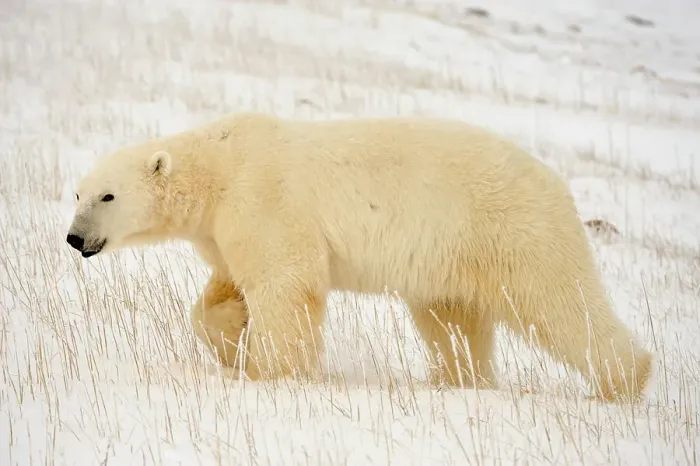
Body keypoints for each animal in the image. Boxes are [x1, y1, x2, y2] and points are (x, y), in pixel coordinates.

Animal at [66, 111, 653, 402]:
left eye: (108, 196)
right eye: (77, 193)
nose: (73, 238)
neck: (220, 165)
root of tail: (558, 184)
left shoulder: (265, 199)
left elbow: (286, 282)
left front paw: (272, 372)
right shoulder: (223, 226)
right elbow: (226, 285)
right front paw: (232, 333)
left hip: (511, 233)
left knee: (559, 304)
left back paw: (624, 382)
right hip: (451, 258)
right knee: (453, 322)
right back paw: (459, 381)